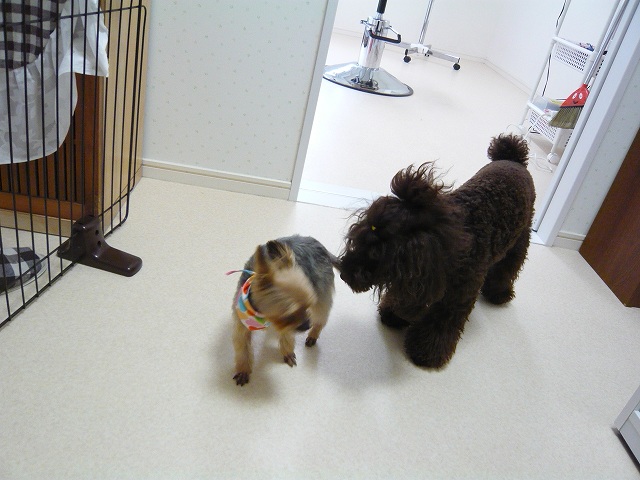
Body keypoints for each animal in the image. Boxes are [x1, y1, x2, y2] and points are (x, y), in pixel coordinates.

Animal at [228, 235, 338, 386]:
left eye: (306, 306)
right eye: (289, 316)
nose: (307, 325)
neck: (263, 317)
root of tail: (321, 246)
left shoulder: (290, 326)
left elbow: (287, 337)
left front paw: (287, 353)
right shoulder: (242, 324)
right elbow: (242, 348)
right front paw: (243, 370)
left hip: (321, 295)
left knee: (321, 318)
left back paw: (313, 334)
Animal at [339, 134, 535, 369]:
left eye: (377, 254)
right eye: (358, 240)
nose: (342, 272)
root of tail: (513, 159)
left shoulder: (455, 300)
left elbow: (439, 327)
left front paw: (425, 353)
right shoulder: (419, 283)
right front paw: (393, 314)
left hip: (520, 240)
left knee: (507, 269)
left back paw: (499, 293)